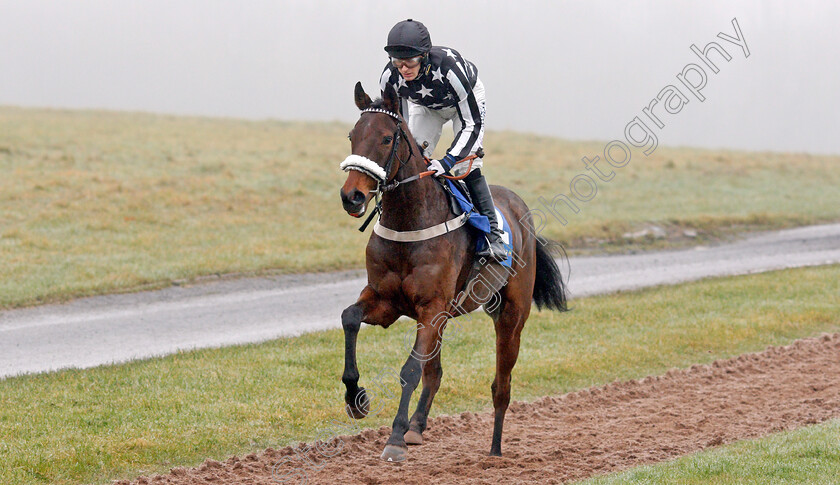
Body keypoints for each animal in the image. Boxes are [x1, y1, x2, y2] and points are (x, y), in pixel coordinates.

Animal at [338, 81, 568, 460]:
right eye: (352, 135)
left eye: (386, 138)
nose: (352, 196)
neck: (410, 223)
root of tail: (521, 210)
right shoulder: (387, 301)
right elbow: (350, 318)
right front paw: (356, 399)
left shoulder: (431, 308)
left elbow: (410, 369)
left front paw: (394, 438)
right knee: (437, 372)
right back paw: (417, 427)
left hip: (511, 314)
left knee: (501, 384)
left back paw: (494, 449)